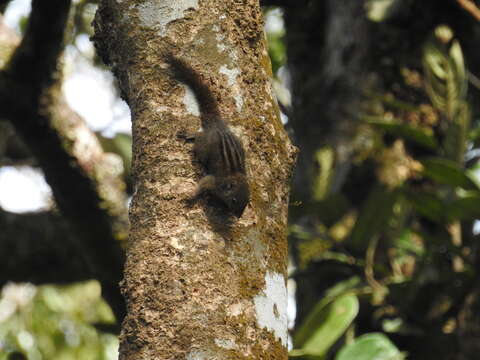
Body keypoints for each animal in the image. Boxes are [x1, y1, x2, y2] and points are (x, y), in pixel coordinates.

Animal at [168, 56, 249, 217]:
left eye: (246, 204)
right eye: (234, 200)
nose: (238, 216)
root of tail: (217, 124)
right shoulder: (213, 182)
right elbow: (203, 184)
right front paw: (192, 198)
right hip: (204, 147)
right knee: (199, 139)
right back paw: (189, 135)